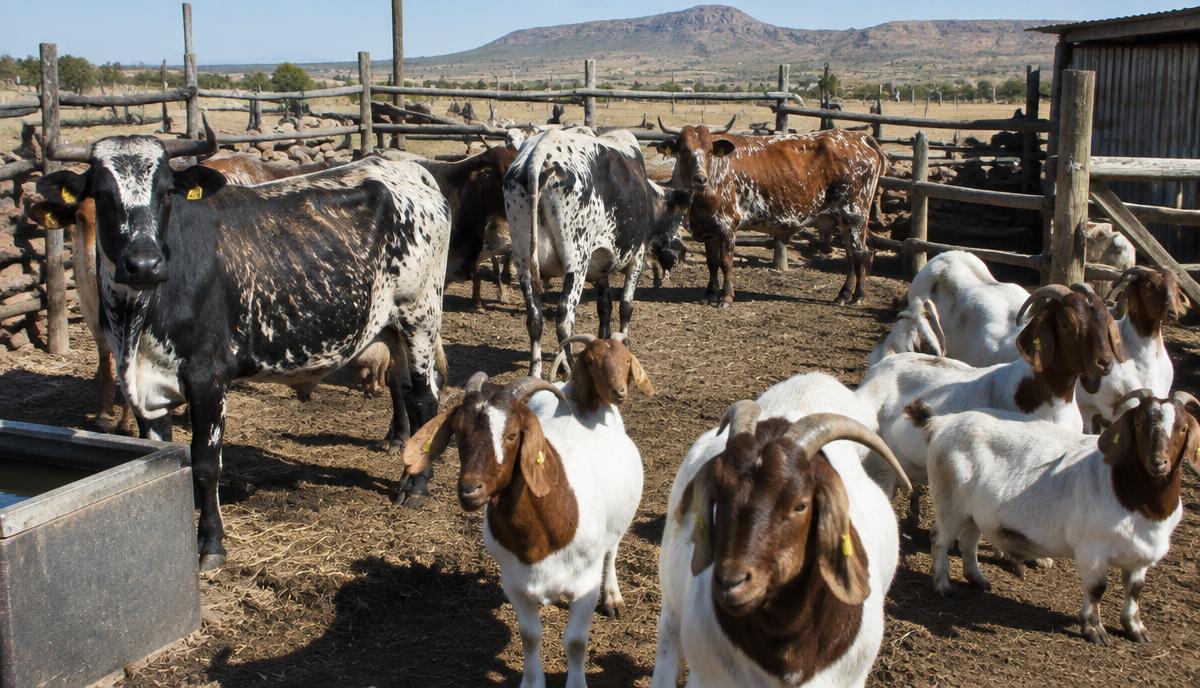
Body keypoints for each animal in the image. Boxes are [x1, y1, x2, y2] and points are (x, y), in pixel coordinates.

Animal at [36, 122, 451, 569]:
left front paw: (211, 543)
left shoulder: (208, 377)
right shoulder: (145, 382)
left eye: (165, 191)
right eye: (101, 193)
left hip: (419, 318)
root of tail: (408, 171)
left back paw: (415, 486)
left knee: (426, 397)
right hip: (392, 328)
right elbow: (160, 457)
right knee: (406, 389)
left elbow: (204, 463)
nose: (144, 264)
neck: (138, 315)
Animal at [403, 373, 643, 688]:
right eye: (457, 431)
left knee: (612, 551)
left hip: (619, 522)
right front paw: (531, 681)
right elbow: (530, 637)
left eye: (512, 435)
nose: (469, 490)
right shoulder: (514, 584)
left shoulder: (585, 586)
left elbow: (576, 643)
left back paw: (613, 597)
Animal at [503, 127, 690, 376]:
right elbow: (626, 307)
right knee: (564, 319)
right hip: (576, 261)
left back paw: (535, 372)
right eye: (679, 219)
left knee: (535, 318)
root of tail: (541, 149)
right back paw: (568, 368)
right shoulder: (637, 258)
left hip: (523, 259)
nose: (682, 250)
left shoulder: (601, 266)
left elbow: (605, 307)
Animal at [658, 119, 886, 306]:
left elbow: (725, 262)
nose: (700, 179)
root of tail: (860, 137)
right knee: (855, 254)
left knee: (859, 253)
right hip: (847, 220)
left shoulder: (727, 226)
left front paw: (726, 296)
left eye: (708, 150)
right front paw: (710, 293)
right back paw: (847, 294)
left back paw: (855, 295)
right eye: (684, 150)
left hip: (854, 215)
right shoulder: (708, 228)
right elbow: (712, 263)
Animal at [922, 389, 1200, 645]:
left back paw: (978, 580)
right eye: (1139, 423)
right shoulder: (1092, 550)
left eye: (1183, 427)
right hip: (949, 501)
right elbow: (1096, 589)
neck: (1127, 490)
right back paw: (944, 585)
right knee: (939, 539)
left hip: (972, 512)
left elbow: (1135, 590)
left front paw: (1136, 629)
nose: (1158, 462)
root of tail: (945, 423)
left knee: (968, 541)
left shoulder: (1141, 557)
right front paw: (1094, 629)